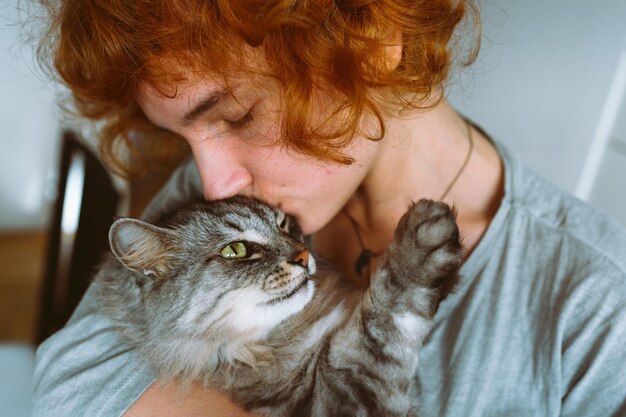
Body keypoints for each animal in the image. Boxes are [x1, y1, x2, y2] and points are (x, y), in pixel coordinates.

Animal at [94, 196, 464, 416]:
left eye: (284, 225)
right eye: (236, 251)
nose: (303, 256)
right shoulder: (339, 399)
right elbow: (384, 319)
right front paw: (424, 239)